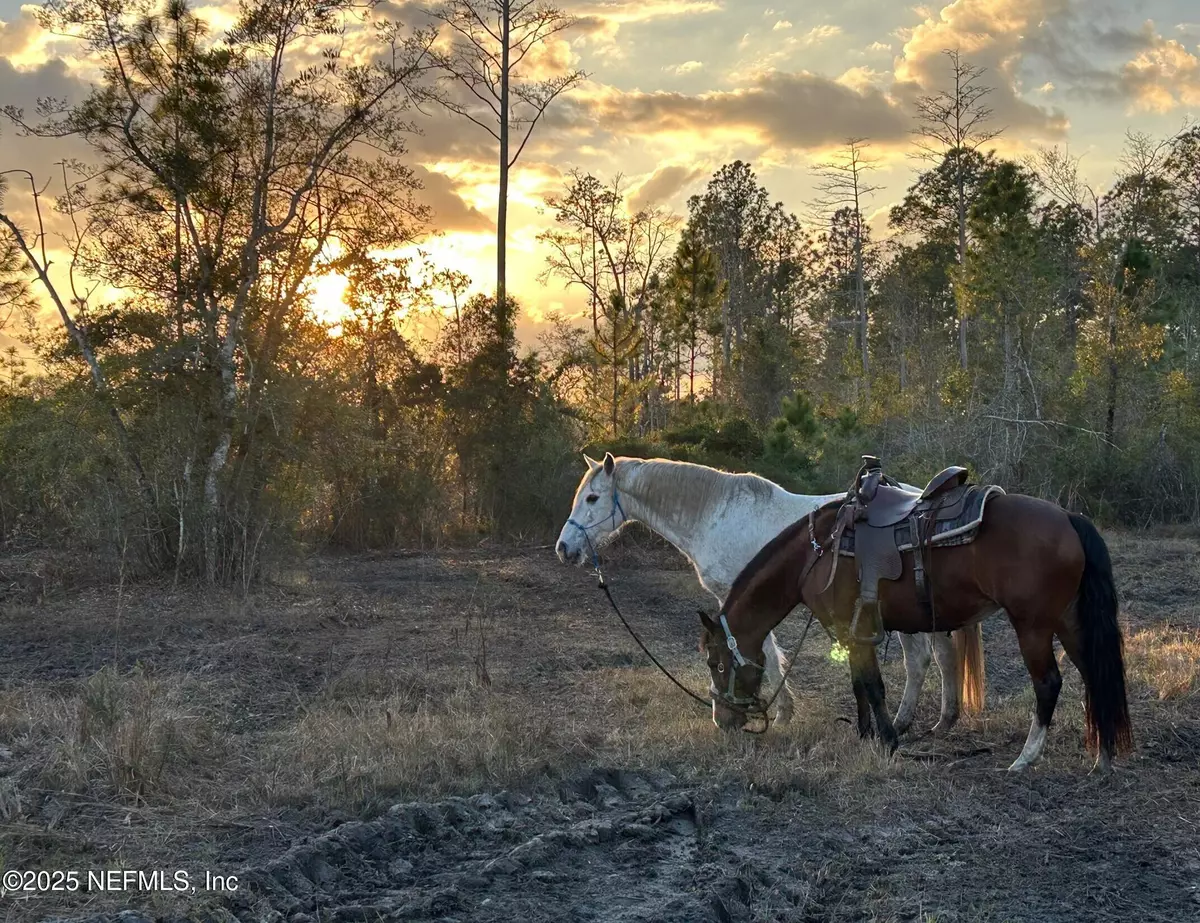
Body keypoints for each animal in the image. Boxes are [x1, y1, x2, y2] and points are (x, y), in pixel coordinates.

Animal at [554, 453, 984, 734]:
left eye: (593, 498)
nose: (564, 548)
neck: (714, 515)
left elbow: (762, 652)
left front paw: (780, 714)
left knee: (924, 659)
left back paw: (913, 723)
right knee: (939, 657)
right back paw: (932, 721)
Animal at [700, 482, 1128, 768]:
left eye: (717, 664)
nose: (721, 721)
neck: (816, 552)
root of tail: (1069, 519)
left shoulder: (852, 630)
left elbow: (873, 686)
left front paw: (888, 740)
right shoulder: (851, 632)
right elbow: (859, 685)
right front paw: (865, 734)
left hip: (1034, 627)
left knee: (1048, 684)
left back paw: (1026, 757)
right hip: (1069, 621)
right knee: (1094, 673)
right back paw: (1103, 753)